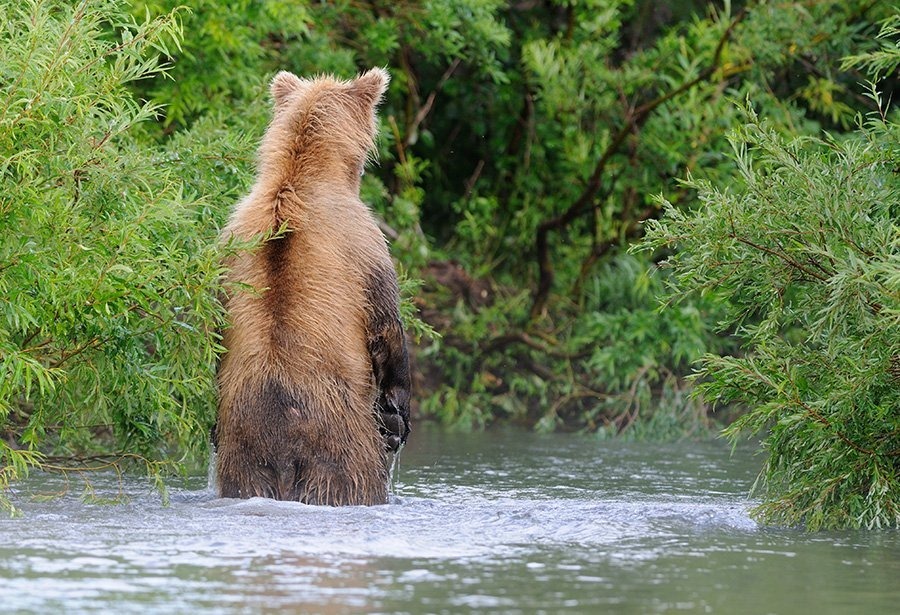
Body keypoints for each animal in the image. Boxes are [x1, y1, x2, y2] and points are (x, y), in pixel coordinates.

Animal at [216, 70, 414, 508]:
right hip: (343, 452)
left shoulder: (228, 240)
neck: (300, 173)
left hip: (246, 460)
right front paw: (398, 412)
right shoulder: (364, 242)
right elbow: (385, 325)